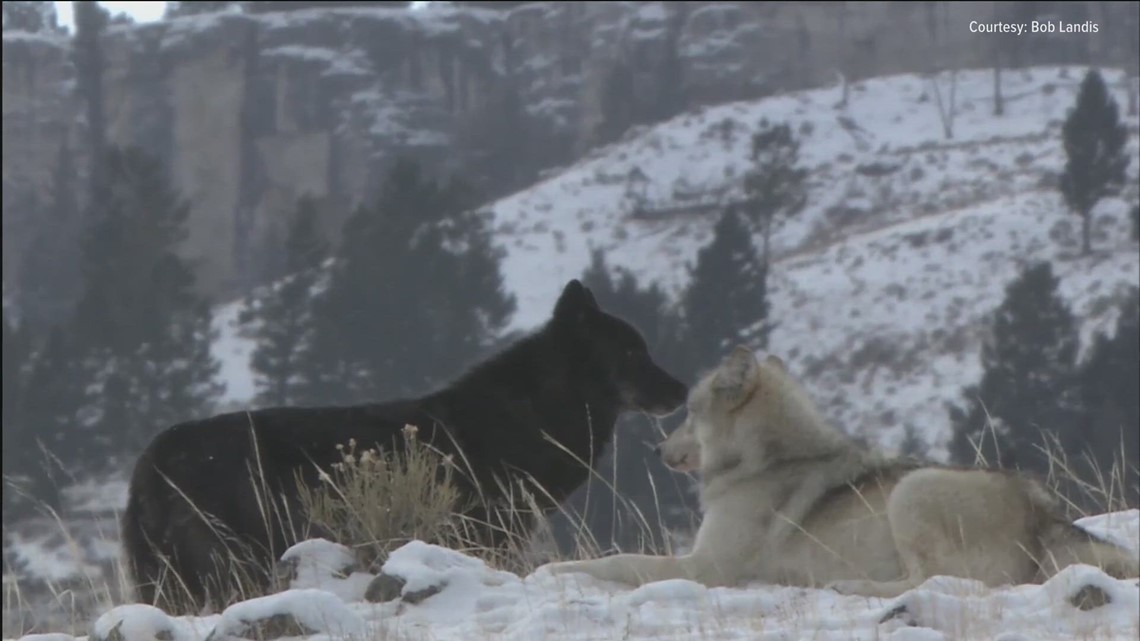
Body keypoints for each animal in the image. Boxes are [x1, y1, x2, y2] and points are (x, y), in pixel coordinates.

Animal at [540, 346, 1139, 597]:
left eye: (689, 412)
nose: (659, 450)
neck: (768, 461)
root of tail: (1043, 510)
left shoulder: (705, 568)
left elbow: (617, 561)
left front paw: (555, 570)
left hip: (911, 494)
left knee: (935, 582)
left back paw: (847, 584)